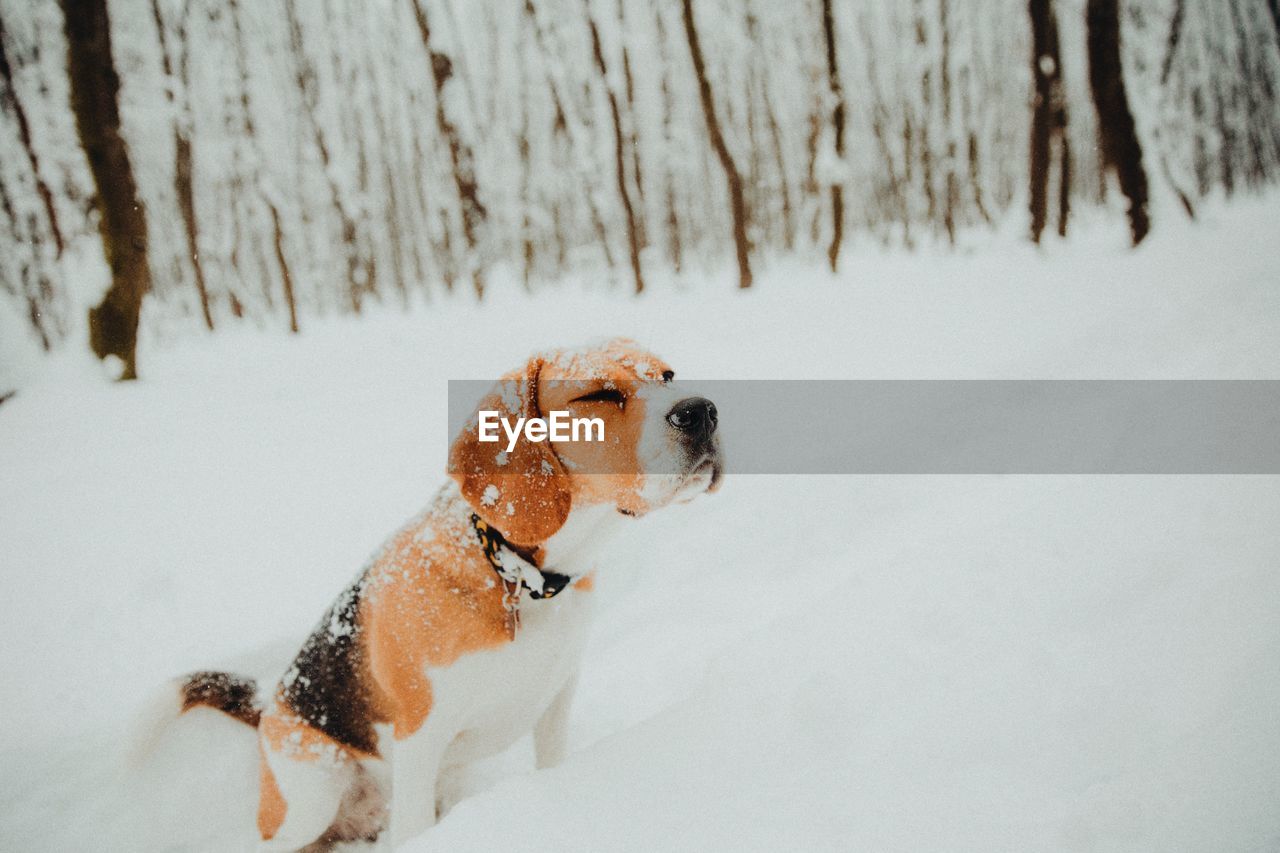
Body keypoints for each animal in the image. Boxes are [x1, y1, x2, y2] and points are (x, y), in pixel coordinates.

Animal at [172, 338, 721, 845]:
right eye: (599, 394)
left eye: (669, 375)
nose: (702, 411)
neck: (516, 574)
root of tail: (270, 703)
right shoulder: (420, 740)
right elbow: (415, 826)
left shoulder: (556, 699)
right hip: (312, 795)